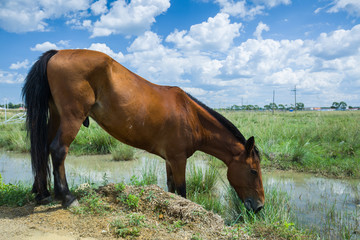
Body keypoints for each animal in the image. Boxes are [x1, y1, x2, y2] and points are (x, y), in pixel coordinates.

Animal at [22, 49, 264, 212]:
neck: (191, 115)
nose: (260, 206)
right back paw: (67, 197)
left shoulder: (170, 160)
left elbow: (171, 190)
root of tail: (57, 53)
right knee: (58, 150)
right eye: (253, 171)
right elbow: (182, 191)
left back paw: (43, 193)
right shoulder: (179, 160)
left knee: (42, 148)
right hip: (71, 117)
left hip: (56, 115)